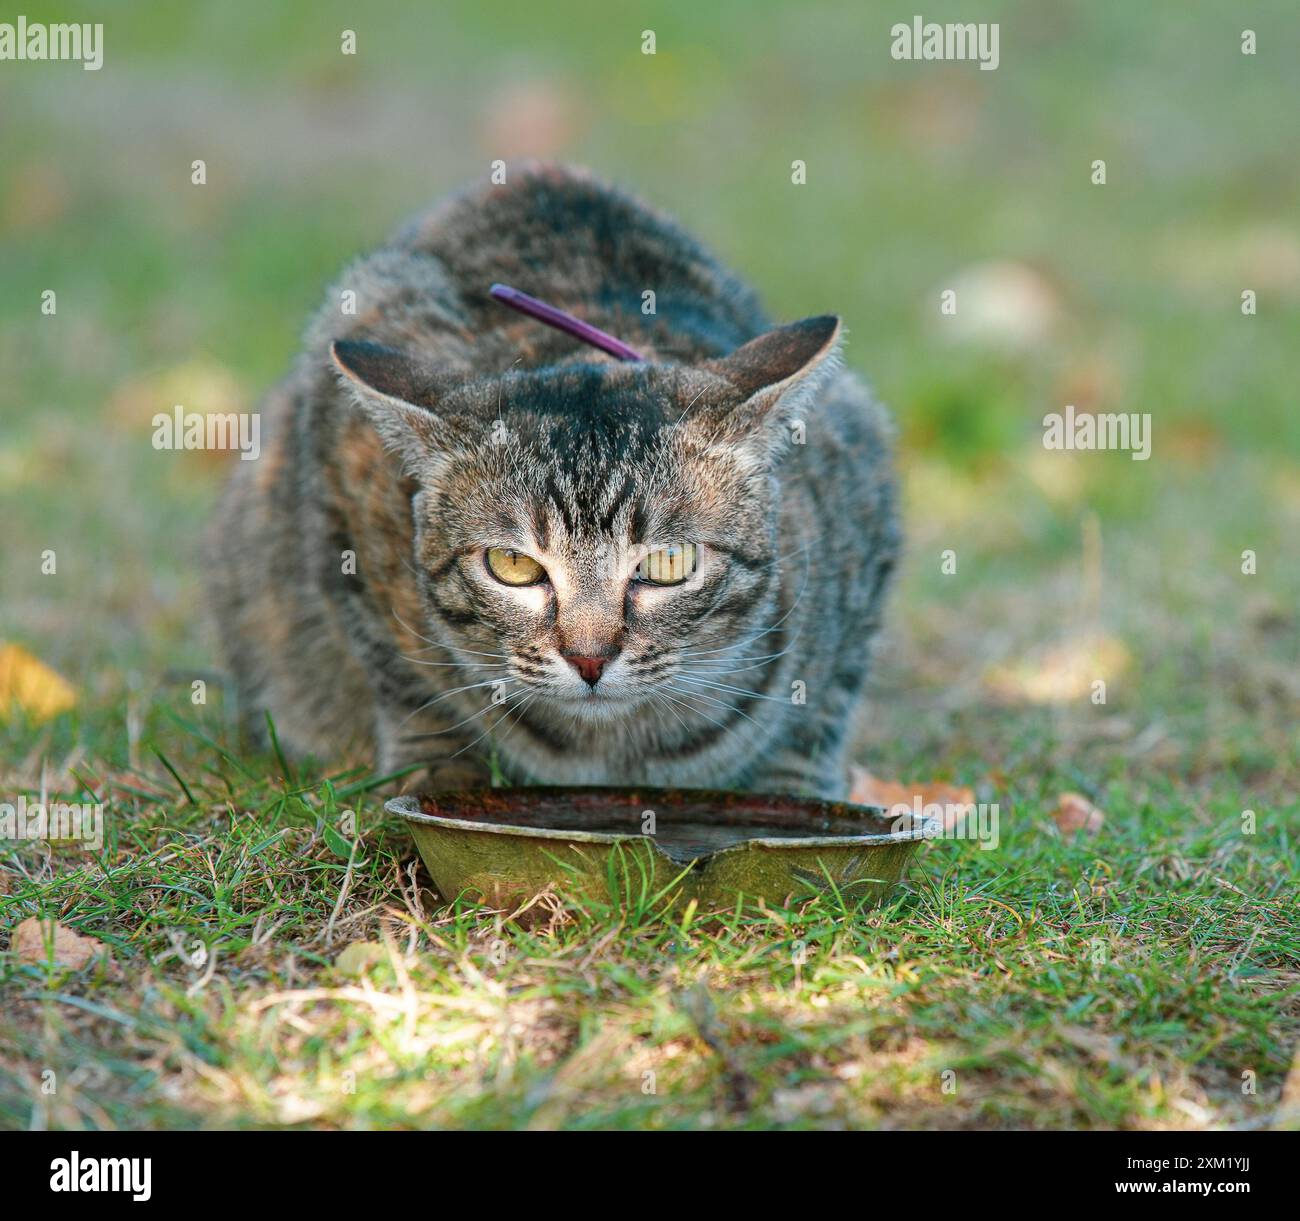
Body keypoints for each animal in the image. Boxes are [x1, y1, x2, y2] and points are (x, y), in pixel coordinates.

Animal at [205, 164, 894, 800]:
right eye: (512, 566)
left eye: (669, 563)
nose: (589, 658)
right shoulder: (338, 483)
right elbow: (403, 678)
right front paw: (435, 772)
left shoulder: (863, 474)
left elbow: (820, 713)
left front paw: (792, 793)